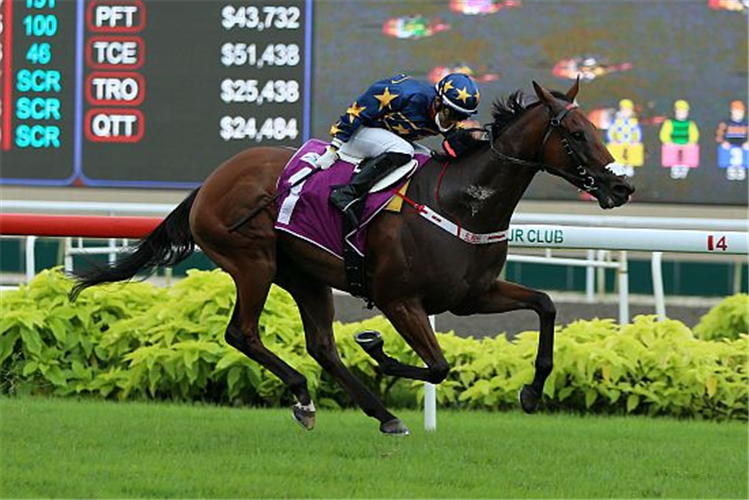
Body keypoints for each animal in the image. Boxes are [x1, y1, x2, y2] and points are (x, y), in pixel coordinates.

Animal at [68, 80, 632, 436]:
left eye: (595, 128)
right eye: (576, 134)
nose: (622, 186)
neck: (462, 202)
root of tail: (210, 182)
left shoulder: (473, 295)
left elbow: (545, 306)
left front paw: (533, 393)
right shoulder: (399, 299)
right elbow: (437, 366)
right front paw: (376, 346)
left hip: (305, 276)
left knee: (321, 346)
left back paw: (377, 413)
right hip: (254, 263)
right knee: (242, 334)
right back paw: (307, 394)